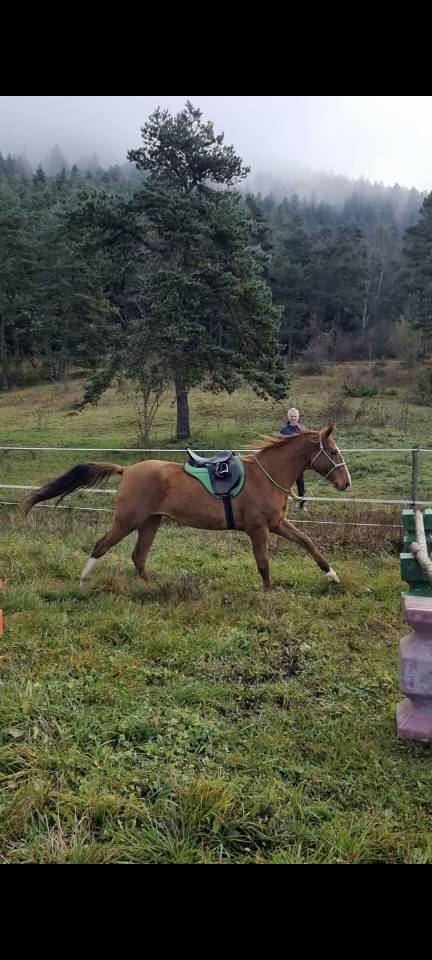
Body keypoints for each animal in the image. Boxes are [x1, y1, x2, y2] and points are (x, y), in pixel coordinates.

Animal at [21, 424, 351, 590]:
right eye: (333, 452)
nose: (345, 483)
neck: (266, 475)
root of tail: (127, 470)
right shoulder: (258, 530)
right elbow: (263, 563)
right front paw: (269, 594)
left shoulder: (277, 524)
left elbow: (308, 543)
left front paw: (332, 575)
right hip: (127, 521)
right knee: (102, 546)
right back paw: (83, 580)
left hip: (151, 522)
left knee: (138, 556)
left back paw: (153, 586)